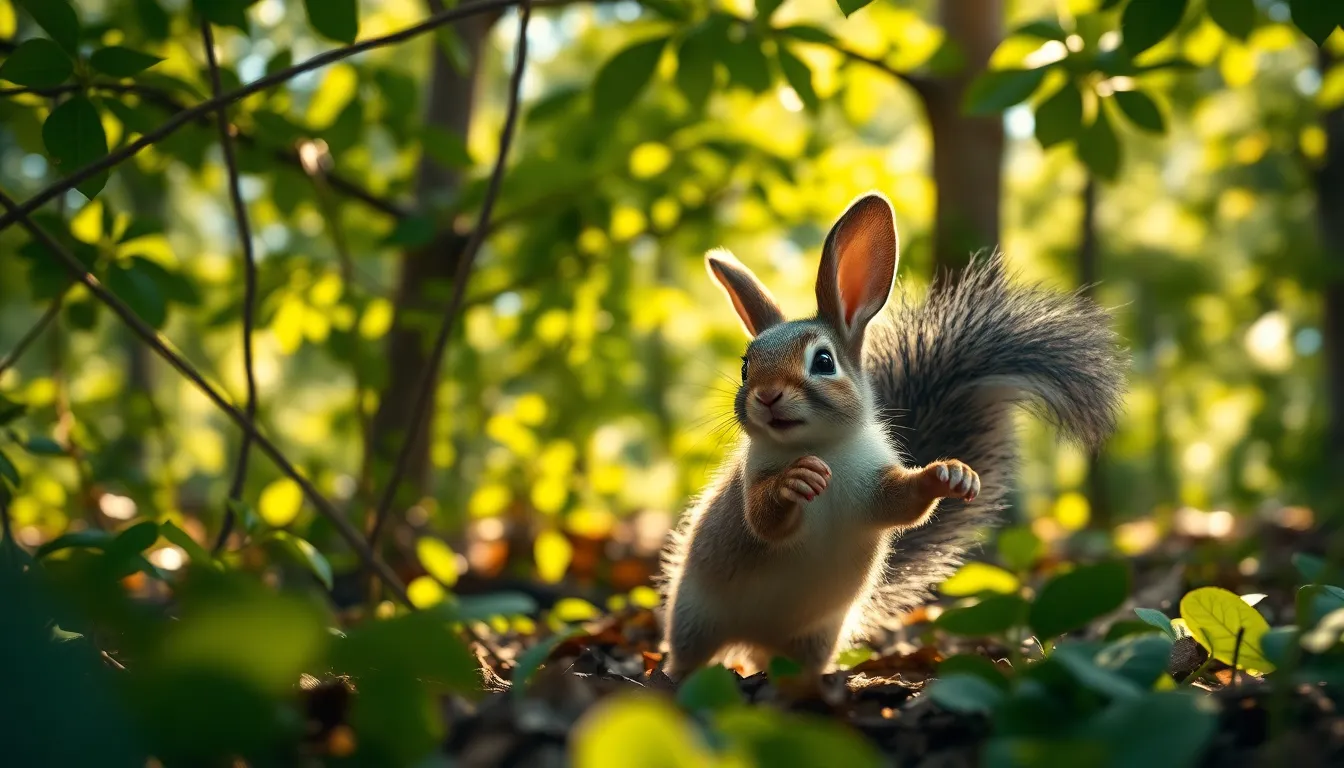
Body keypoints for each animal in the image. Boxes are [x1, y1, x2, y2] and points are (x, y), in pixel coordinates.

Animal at [656, 192, 1126, 689]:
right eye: (746, 366)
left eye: (824, 361)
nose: (766, 396)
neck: (824, 448)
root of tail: (752, 644)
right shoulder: (754, 476)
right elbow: (763, 521)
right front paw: (794, 481)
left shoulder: (871, 485)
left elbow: (902, 506)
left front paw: (947, 475)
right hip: (694, 619)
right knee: (688, 658)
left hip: (813, 637)